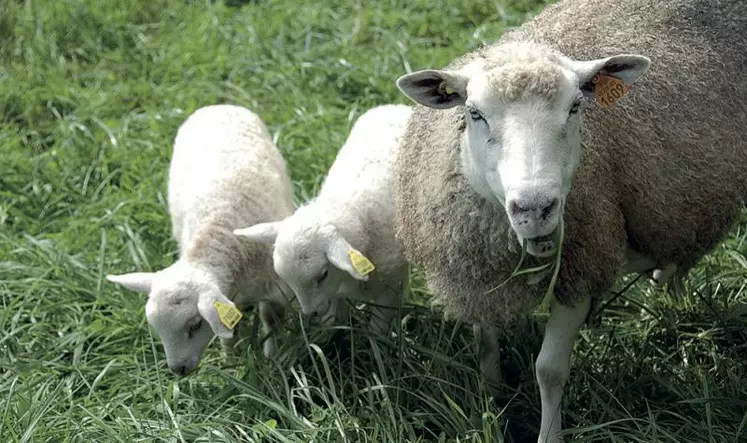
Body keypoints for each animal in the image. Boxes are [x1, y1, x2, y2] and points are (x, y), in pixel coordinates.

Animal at [106, 105, 296, 378]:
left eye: (195, 324)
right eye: (157, 328)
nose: (178, 370)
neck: (220, 233)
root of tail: (217, 106)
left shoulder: (276, 285)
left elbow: (271, 319)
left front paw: (273, 356)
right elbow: (228, 328)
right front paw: (231, 360)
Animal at [234, 104, 412, 336]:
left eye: (323, 274)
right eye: (286, 279)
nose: (311, 314)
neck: (352, 208)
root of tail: (393, 106)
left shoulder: (392, 287)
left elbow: (377, 331)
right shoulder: (336, 291)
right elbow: (335, 321)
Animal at [394, 1, 744, 442]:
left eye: (576, 107)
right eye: (474, 113)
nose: (534, 208)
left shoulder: (583, 265)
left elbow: (549, 370)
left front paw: (549, 433)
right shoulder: (477, 270)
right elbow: (485, 346)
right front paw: (493, 403)